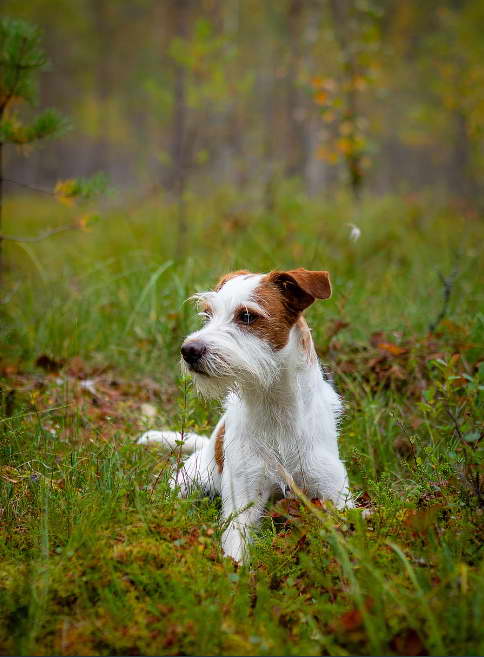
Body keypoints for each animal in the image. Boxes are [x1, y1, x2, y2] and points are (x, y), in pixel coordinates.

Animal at [138, 270, 354, 560]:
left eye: (247, 316)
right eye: (207, 315)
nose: (188, 350)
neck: (275, 409)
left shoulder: (334, 492)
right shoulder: (243, 497)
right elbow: (235, 550)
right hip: (185, 483)